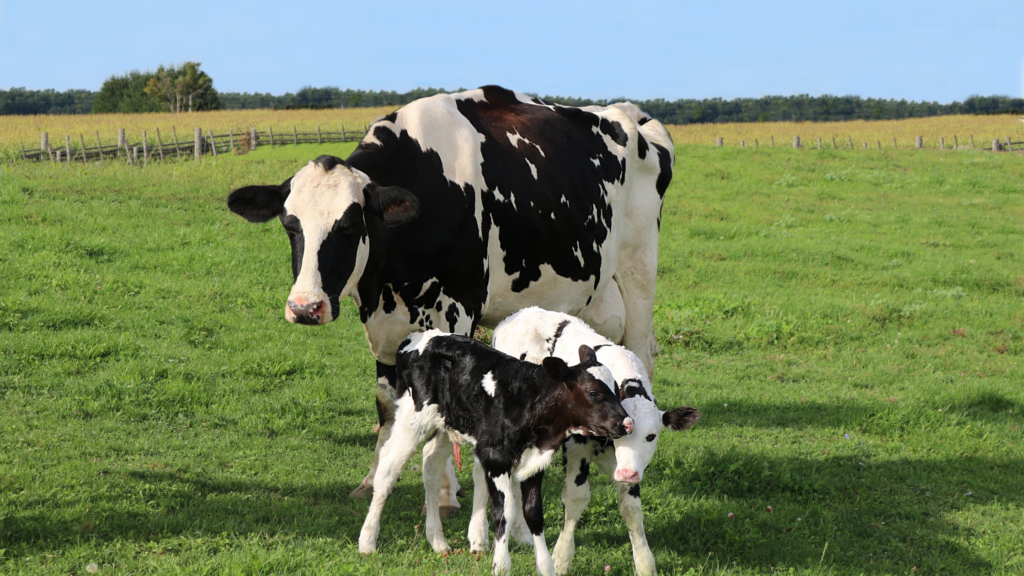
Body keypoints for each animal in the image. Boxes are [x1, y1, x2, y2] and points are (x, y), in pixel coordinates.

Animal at [225, 85, 675, 507]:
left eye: (350, 226)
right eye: (290, 225)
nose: (305, 306)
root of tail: (630, 113)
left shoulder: (457, 308)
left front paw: (445, 493)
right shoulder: (381, 323)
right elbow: (386, 404)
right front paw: (372, 478)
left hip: (639, 268)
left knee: (640, 355)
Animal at [358, 329, 631, 576]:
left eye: (616, 389)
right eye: (593, 393)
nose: (627, 423)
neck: (531, 402)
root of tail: (416, 337)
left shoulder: (535, 463)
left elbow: (533, 512)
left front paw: (546, 568)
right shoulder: (496, 458)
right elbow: (504, 511)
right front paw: (501, 565)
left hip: (447, 423)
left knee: (431, 464)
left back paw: (437, 540)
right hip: (412, 420)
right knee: (388, 468)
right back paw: (367, 540)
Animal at [483, 306, 700, 575]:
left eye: (651, 436)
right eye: (625, 433)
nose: (627, 473)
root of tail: (517, 314)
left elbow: (631, 509)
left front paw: (644, 563)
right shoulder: (577, 449)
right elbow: (576, 498)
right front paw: (561, 559)